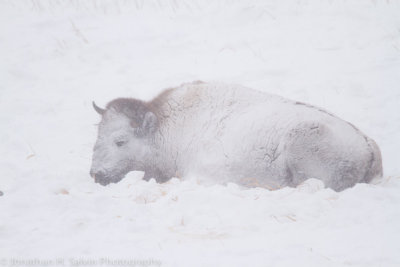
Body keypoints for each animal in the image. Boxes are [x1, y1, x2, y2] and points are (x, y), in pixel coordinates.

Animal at [90, 80, 382, 192]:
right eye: (97, 138)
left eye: (120, 141)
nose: (96, 174)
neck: (167, 128)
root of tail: (368, 145)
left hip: (302, 142)